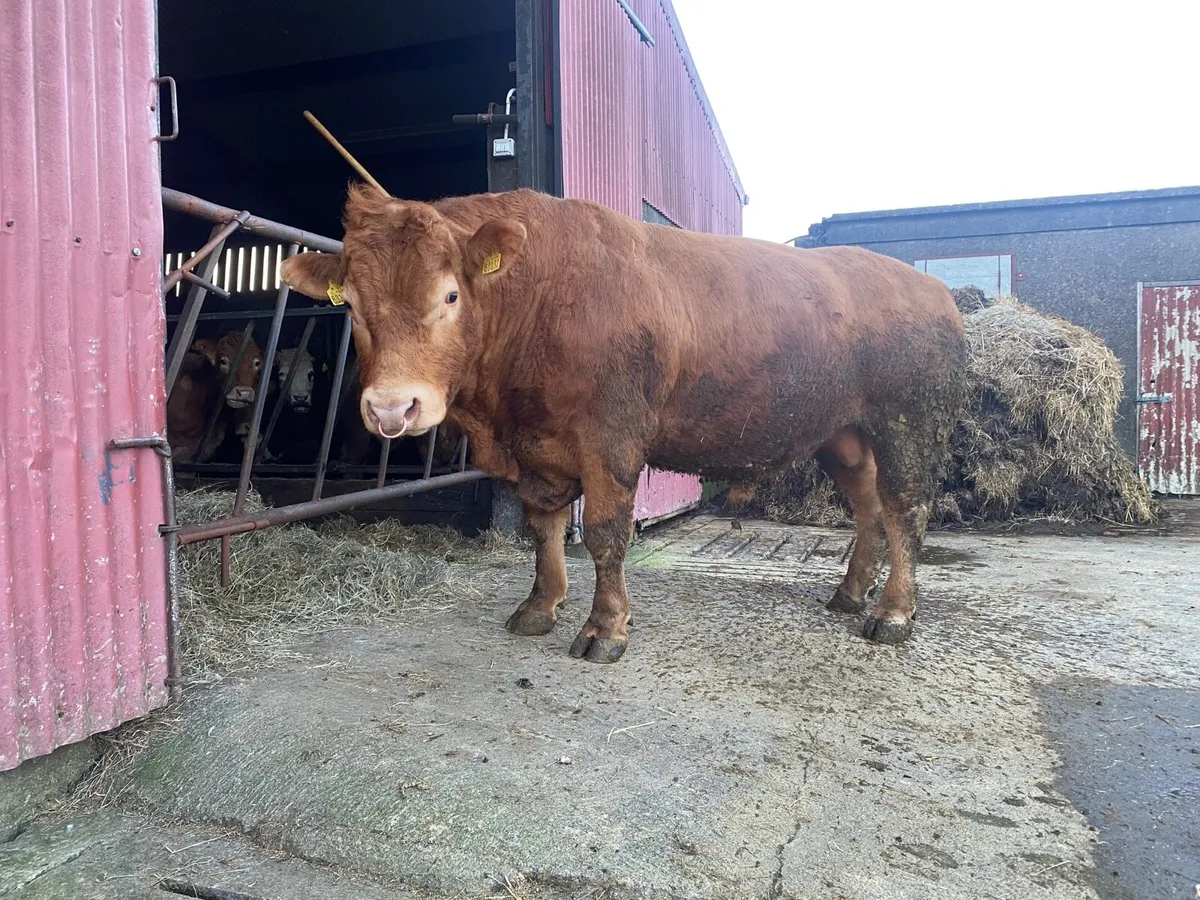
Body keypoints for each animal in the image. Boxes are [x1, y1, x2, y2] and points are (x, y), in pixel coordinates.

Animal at [280, 185, 967, 663]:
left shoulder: (610, 440)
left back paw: (893, 614)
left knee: (906, 511)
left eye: (450, 296)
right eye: (353, 307)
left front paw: (604, 628)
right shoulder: (540, 448)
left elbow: (605, 534)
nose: (391, 408)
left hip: (908, 424)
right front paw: (539, 605)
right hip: (845, 436)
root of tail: (931, 291)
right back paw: (850, 594)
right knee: (870, 509)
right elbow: (544, 528)